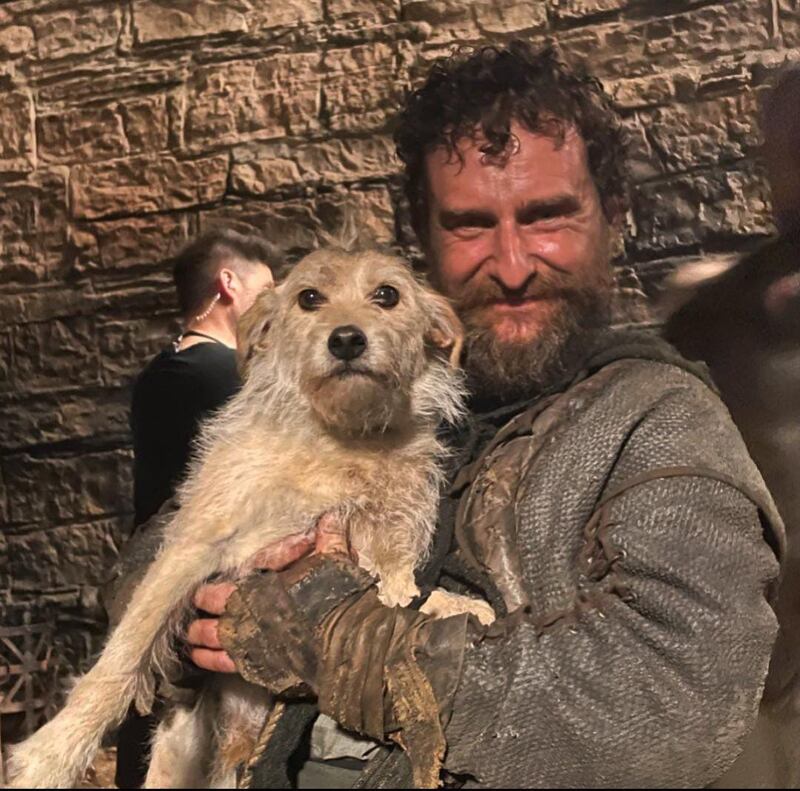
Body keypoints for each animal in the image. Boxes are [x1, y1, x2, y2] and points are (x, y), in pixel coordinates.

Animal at [8, 245, 494, 788]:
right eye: (309, 297)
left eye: (387, 294)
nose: (347, 339)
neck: (341, 438)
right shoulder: (196, 544)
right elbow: (124, 654)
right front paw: (52, 756)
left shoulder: (378, 546)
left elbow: (396, 593)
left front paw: (453, 605)